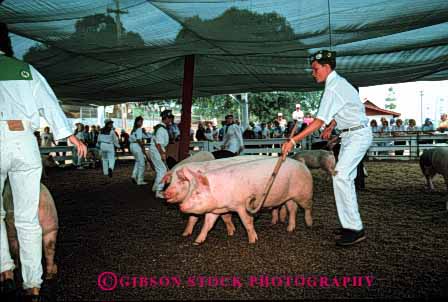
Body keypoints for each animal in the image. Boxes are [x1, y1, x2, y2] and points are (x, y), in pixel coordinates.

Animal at [174, 157, 312, 244]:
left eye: (197, 192)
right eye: (190, 190)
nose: (181, 206)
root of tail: (303, 164)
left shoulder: (241, 205)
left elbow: (247, 222)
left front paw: (252, 241)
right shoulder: (214, 210)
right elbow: (207, 224)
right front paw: (197, 241)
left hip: (305, 193)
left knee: (307, 208)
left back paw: (309, 224)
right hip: (289, 197)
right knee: (292, 209)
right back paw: (290, 229)